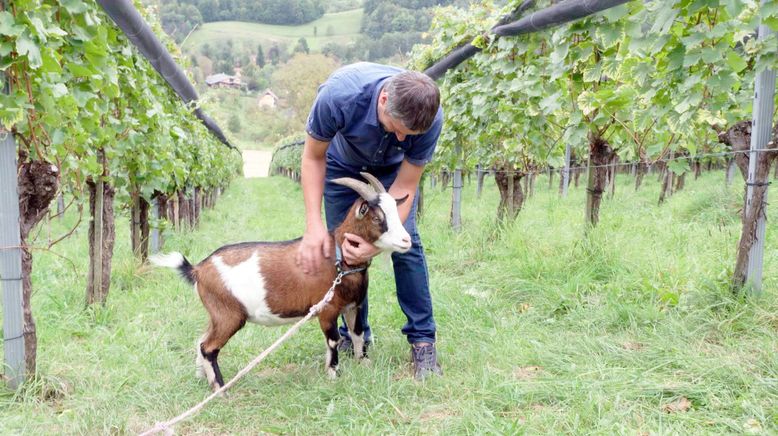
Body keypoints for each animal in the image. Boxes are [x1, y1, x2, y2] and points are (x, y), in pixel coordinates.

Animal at [148, 172, 410, 390]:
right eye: (377, 218)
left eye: (395, 212)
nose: (406, 241)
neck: (339, 258)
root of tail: (199, 269)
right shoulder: (327, 309)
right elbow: (334, 341)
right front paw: (333, 373)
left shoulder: (353, 306)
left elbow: (357, 333)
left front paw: (363, 363)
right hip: (228, 315)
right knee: (208, 347)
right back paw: (221, 389)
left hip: (216, 314)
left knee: (201, 340)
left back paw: (201, 376)